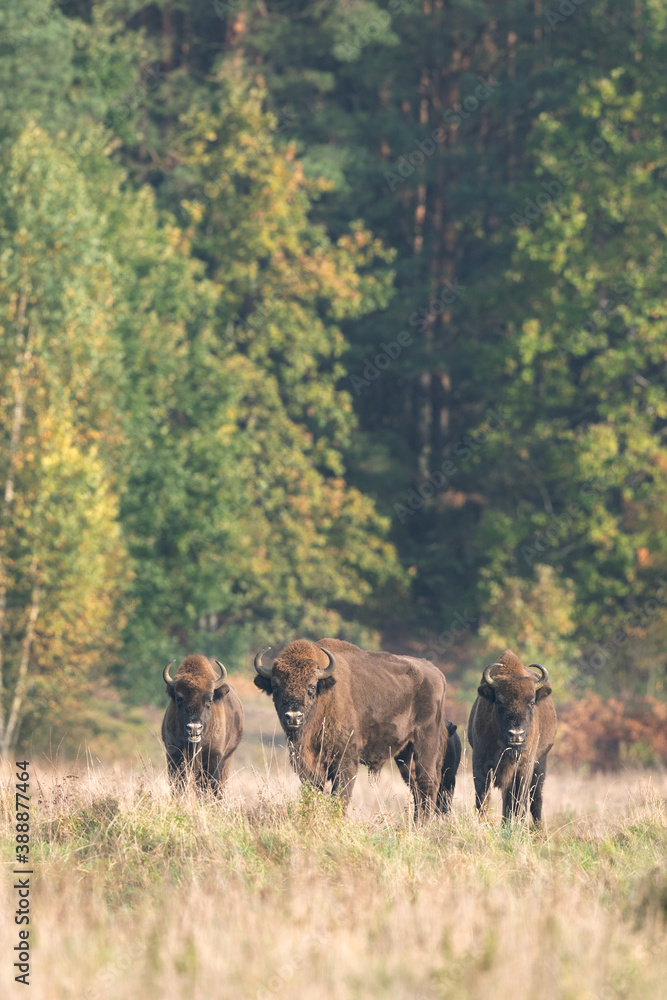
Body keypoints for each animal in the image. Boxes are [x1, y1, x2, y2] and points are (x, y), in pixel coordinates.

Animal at [161, 654, 244, 795]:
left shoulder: (214, 756)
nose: (194, 728)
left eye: (209, 700)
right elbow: (179, 785)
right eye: (179, 699)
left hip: (227, 757)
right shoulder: (173, 753)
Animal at [253, 638, 457, 820]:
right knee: (415, 787)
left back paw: (423, 825)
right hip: (405, 754)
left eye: (311, 687)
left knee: (427, 783)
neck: (324, 699)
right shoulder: (308, 765)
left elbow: (340, 797)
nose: (293, 716)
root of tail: (438, 675)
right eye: (275, 687)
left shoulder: (345, 761)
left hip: (425, 743)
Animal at [467, 649, 556, 823]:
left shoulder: (524, 767)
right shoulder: (480, 764)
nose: (516, 735)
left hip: (541, 764)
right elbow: (483, 800)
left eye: (531, 702)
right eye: (499, 702)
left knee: (535, 800)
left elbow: (519, 803)